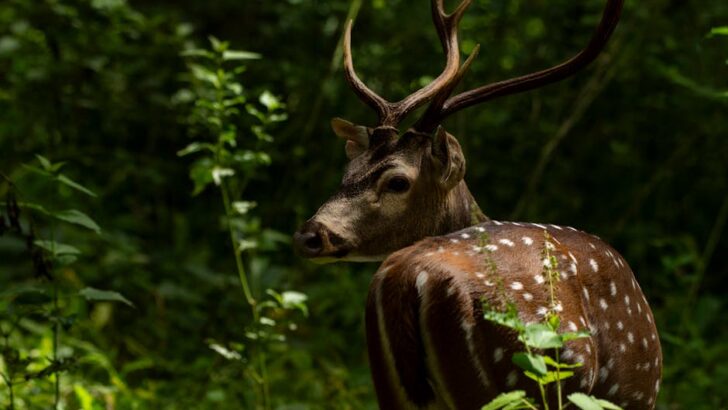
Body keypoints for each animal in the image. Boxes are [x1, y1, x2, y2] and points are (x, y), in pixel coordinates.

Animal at [293, 0, 662, 409]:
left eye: (398, 181)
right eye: (349, 169)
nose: (310, 235)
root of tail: (405, 281)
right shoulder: (634, 392)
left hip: (391, 387)